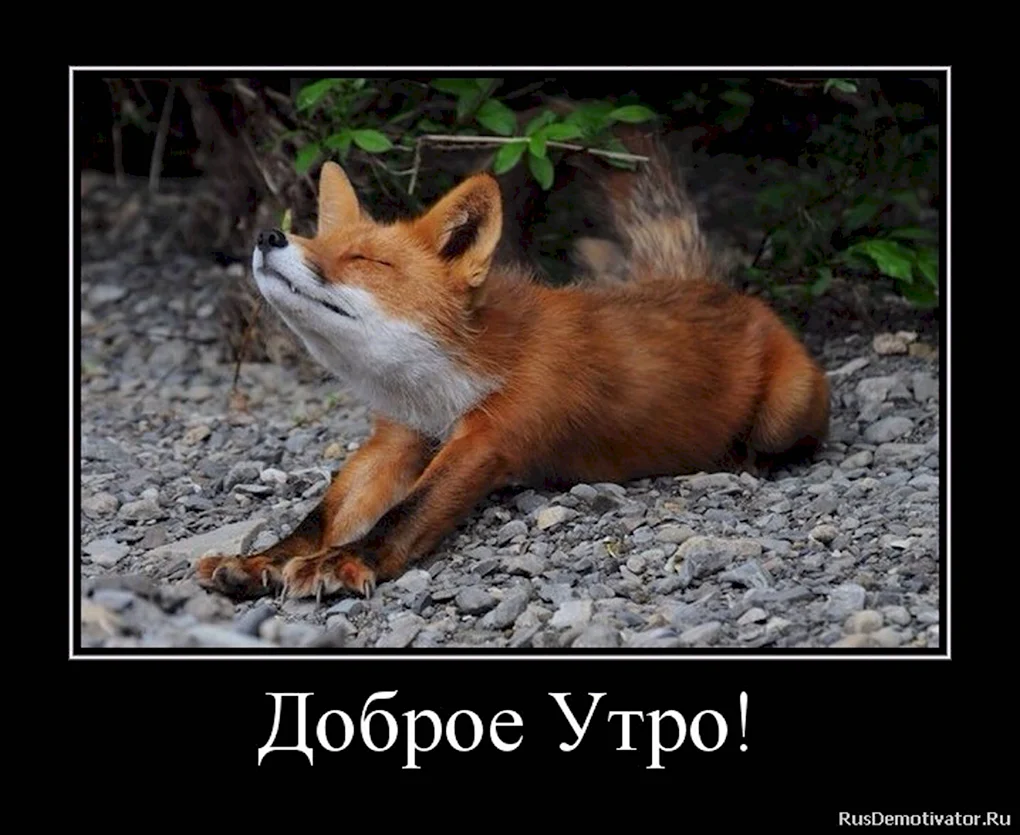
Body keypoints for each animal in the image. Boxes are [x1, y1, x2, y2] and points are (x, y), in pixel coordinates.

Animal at [195, 140, 829, 603]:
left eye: (365, 260)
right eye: (318, 237)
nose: (269, 235)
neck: (442, 385)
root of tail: (713, 287)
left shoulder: (493, 433)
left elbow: (407, 513)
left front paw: (346, 560)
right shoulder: (398, 437)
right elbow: (321, 516)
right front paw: (260, 561)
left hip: (785, 411)